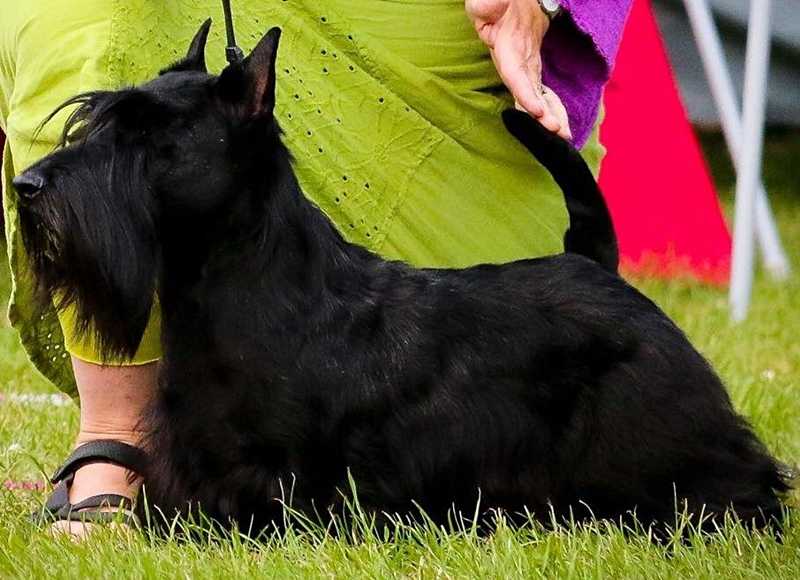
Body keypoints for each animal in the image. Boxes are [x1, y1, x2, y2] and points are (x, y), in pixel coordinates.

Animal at [12, 22, 788, 532]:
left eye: (149, 139)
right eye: (94, 123)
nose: (27, 186)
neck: (237, 281)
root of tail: (593, 264)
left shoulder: (288, 484)